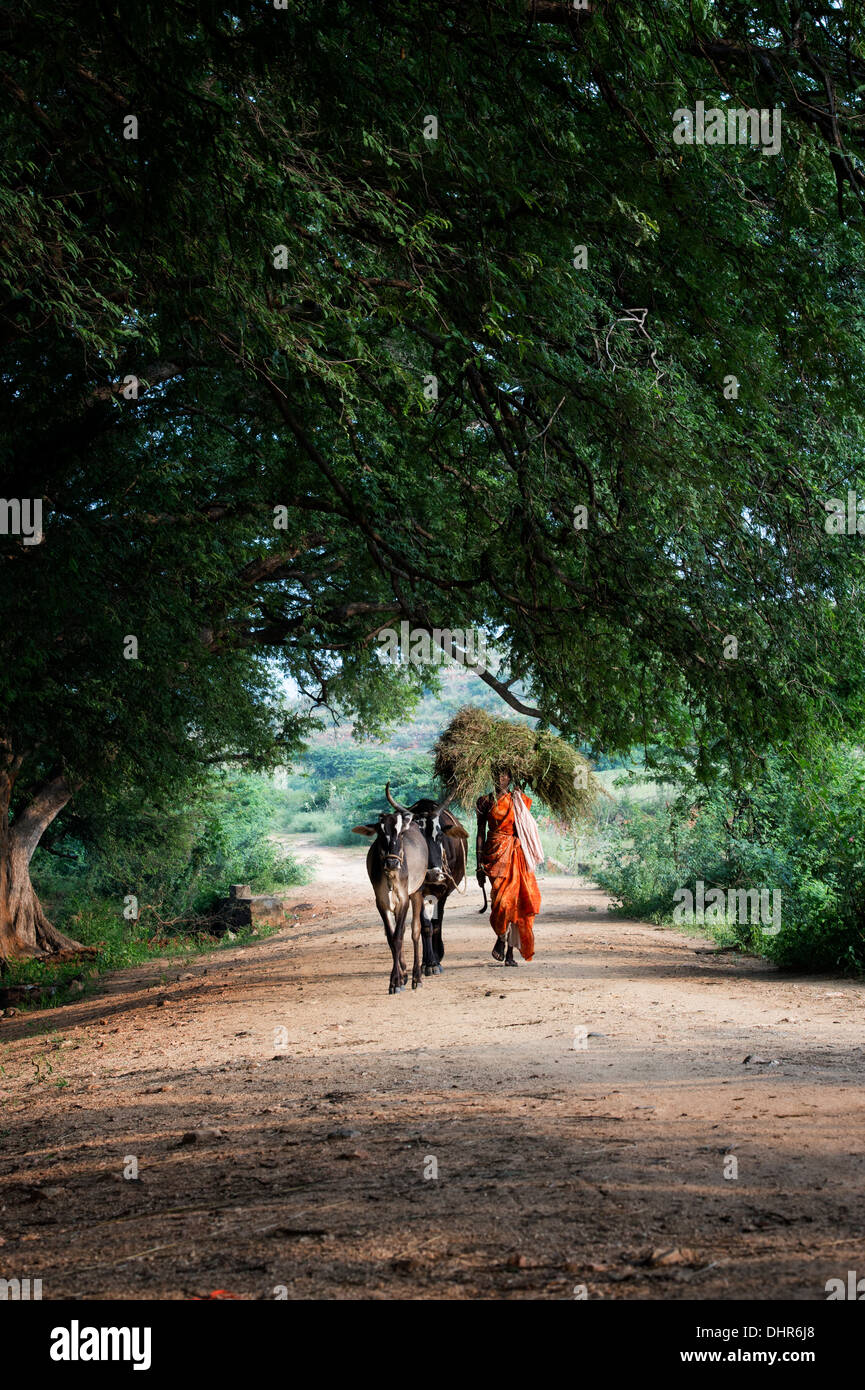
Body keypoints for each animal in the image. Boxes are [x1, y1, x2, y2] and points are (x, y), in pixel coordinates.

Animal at [353, 789, 431, 995]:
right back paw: (405, 973)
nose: (392, 862)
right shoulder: (381, 901)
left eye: (401, 833)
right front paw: (397, 978)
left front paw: (396, 981)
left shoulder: (403, 899)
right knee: (401, 930)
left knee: (414, 931)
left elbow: (398, 937)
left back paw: (416, 977)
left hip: (416, 893)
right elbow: (391, 937)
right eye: (380, 833)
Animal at [383, 789, 467, 973]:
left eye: (440, 835)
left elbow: (436, 923)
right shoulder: (417, 892)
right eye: (416, 839)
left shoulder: (443, 891)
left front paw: (437, 957)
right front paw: (429, 963)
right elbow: (425, 925)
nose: (432, 875)